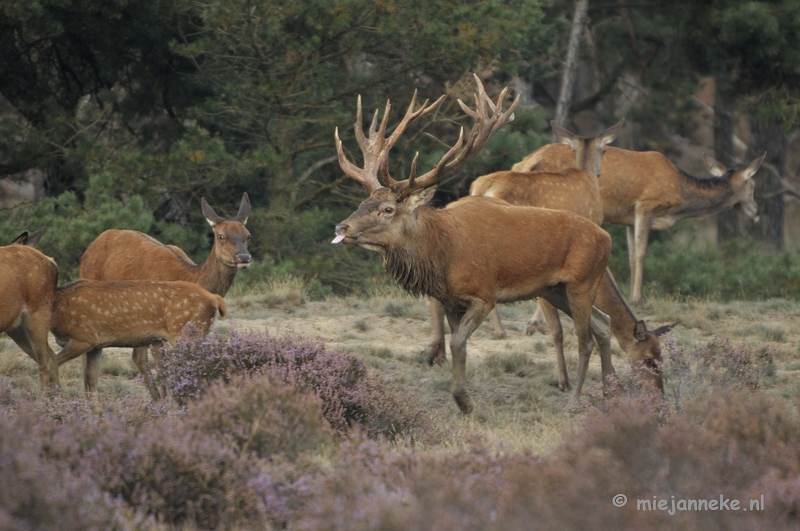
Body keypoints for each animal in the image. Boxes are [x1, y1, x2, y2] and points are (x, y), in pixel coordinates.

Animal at [52, 278, 228, 394]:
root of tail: (215, 298)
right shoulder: (96, 345)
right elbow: (91, 380)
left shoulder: (84, 336)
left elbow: (53, 363)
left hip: (185, 332)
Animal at [332, 76, 612, 416]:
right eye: (363, 202)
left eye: (387, 209)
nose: (341, 227)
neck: (444, 256)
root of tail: (607, 238)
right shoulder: (451, 300)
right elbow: (459, 344)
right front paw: (462, 401)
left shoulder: (483, 294)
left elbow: (457, 343)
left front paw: (465, 400)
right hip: (555, 289)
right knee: (604, 323)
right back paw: (613, 389)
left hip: (582, 281)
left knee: (586, 339)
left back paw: (573, 402)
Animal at [512, 142, 768, 308]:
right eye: (753, 187)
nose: (757, 214)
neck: (680, 195)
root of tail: (525, 163)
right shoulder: (646, 206)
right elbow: (641, 254)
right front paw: (638, 300)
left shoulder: (629, 218)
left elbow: (631, 256)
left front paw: (630, 295)